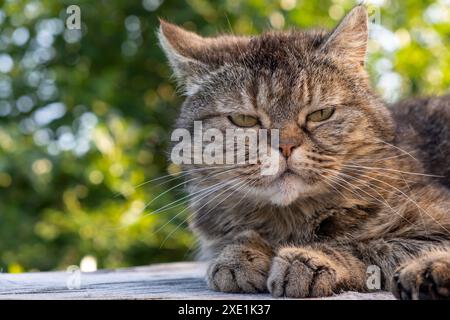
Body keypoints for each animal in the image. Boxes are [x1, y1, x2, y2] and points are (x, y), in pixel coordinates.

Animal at [157, 5, 450, 300]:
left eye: (321, 114)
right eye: (244, 119)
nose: (285, 146)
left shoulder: (435, 227)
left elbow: (370, 245)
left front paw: (309, 258)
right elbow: (236, 239)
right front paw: (240, 253)